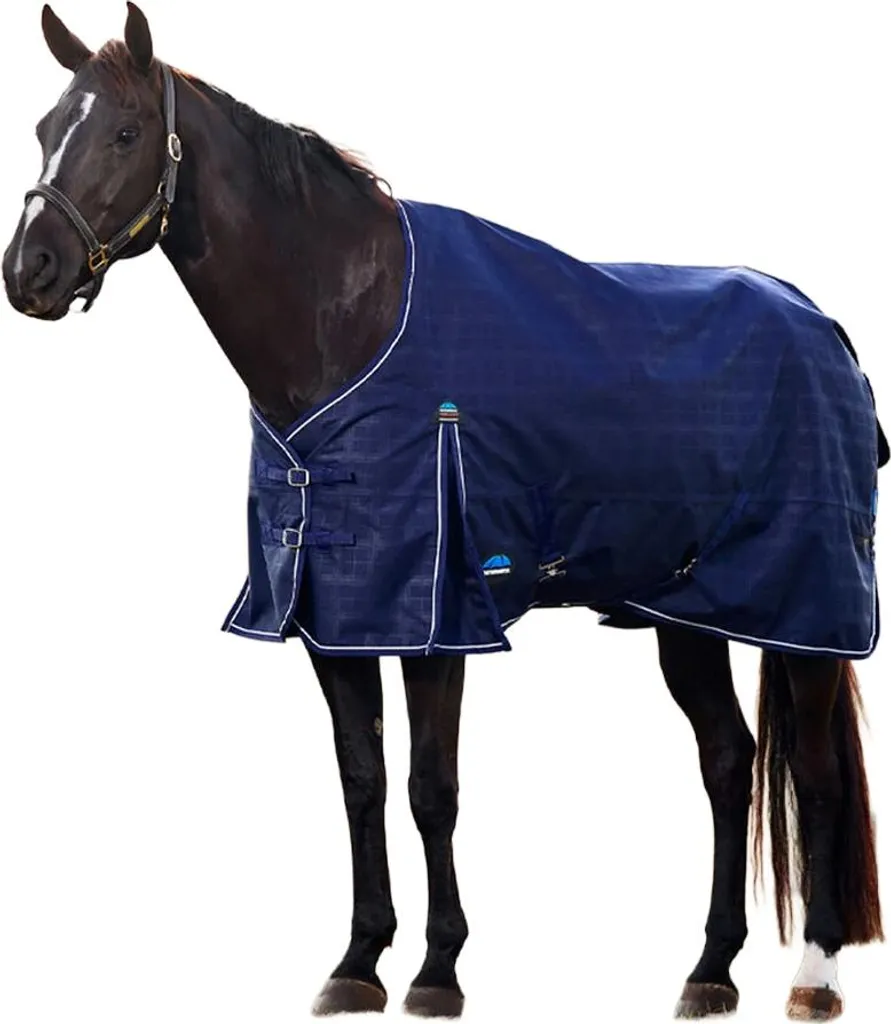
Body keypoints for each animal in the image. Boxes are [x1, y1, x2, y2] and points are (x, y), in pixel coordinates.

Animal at [2, 5, 885, 1020]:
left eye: (125, 132)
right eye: (43, 128)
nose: (29, 271)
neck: (346, 324)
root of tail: (822, 327)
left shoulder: (434, 612)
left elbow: (432, 788)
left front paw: (436, 970)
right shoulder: (334, 614)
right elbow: (362, 780)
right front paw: (356, 961)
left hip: (805, 608)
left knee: (814, 775)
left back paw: (813, 975)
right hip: (687, 612)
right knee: (728, 765)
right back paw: (708, 968)